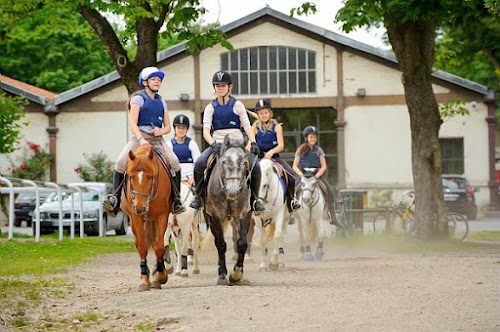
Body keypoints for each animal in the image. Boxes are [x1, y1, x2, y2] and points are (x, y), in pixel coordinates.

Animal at [120, 145, 172, 290]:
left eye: (150, 177)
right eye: (131, 177)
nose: (140, 207)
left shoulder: (162, 216)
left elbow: (159, 246)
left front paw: (160, 276)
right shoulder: (136, 218)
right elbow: (142, 246)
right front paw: (144, 280)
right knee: (139, 243)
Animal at [203, 134, 252, 284]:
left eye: (244, 162)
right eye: (224, 162)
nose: (233, 190)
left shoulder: (242, 214)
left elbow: (242, 243)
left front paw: (237, 274)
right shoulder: (216, 216)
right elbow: (221, 244)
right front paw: (223, 275)